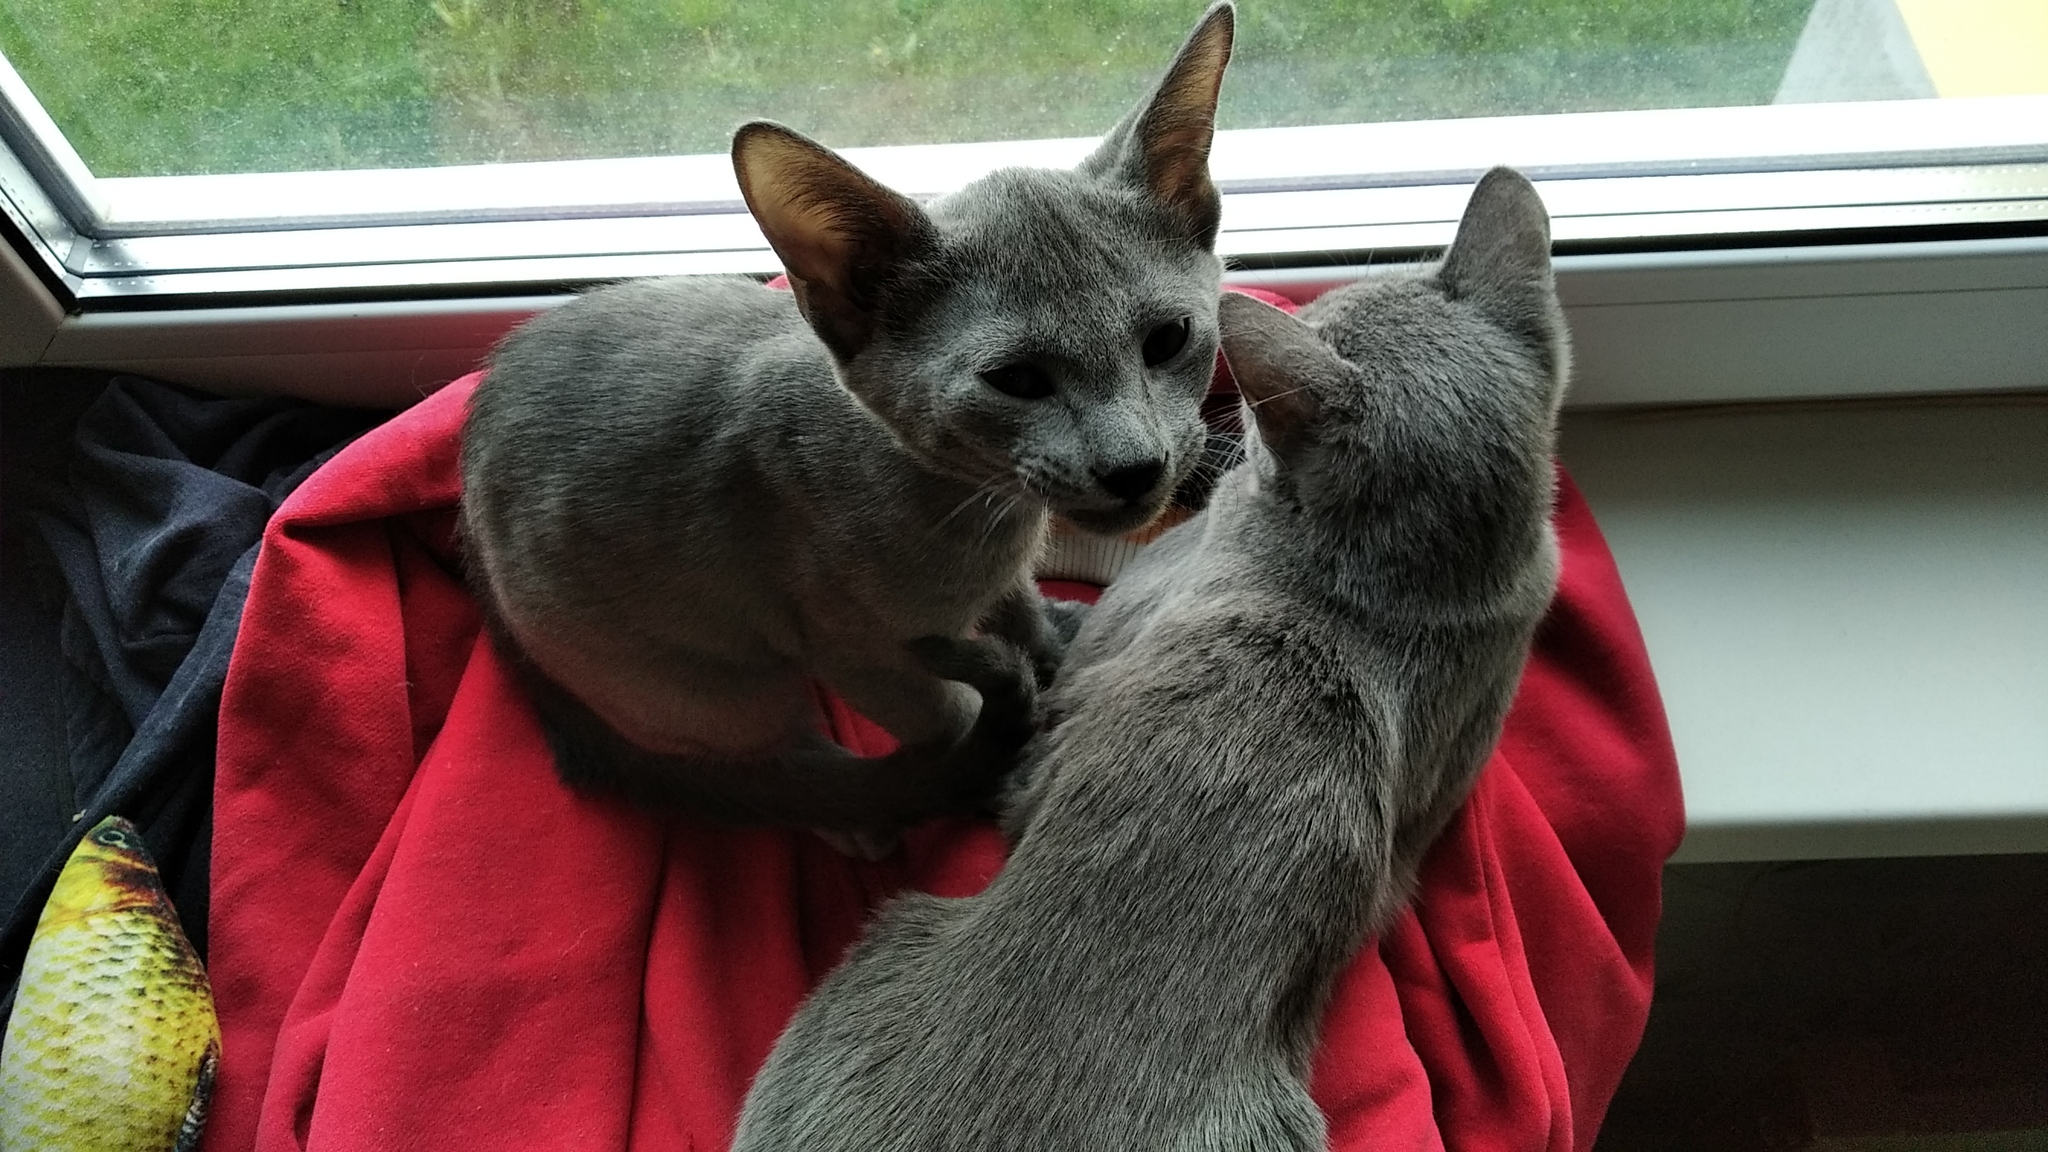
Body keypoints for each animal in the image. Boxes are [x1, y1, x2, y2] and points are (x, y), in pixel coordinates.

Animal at [460, 4, 1228, 840]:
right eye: (1017, 381)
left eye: (1169, 341)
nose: (1135, 467)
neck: (984, 513)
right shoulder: (856, 652)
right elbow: (945, 713)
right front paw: (1003, 753)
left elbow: (1019, 612)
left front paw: (1051, 639)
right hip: (707, 680)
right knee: (770, 763)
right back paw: (858, 813)